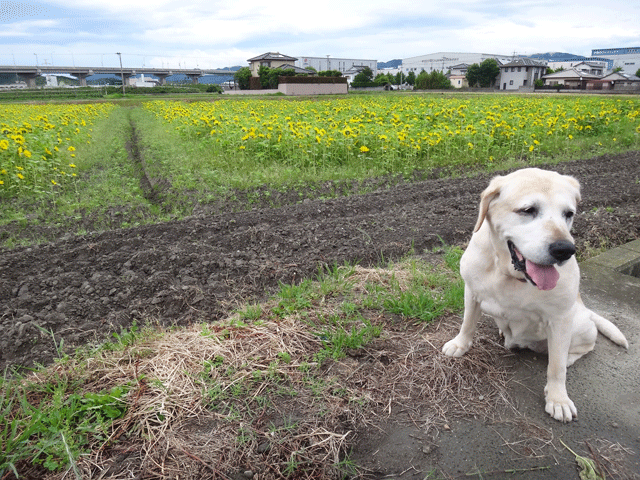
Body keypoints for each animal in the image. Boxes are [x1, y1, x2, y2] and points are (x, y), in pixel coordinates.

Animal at [442, 168, 628, 420]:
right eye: (528, 210)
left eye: (568, 213)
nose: (564, 250)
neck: (509, 274)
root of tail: (588, 312)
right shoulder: (471, 291)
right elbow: (467, 323)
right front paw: (460, 344)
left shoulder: (560, 320)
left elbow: (556, 368)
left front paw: (558, 399)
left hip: (579, 325)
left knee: (581, 349)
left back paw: (568, 359)